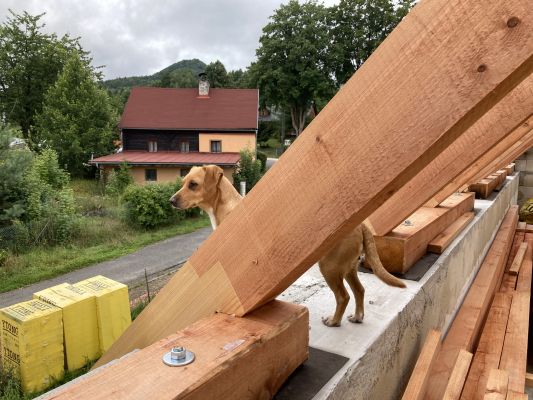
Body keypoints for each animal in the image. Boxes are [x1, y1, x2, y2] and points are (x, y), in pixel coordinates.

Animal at [170, 164, 404, 326]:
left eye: (193, 184)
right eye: (183, 182)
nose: (171, 201)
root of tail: (361, 225)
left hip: (330, 268)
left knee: (343, 296)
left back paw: (334, 321)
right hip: (347, 269)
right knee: (360, 291)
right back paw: (357, 316)